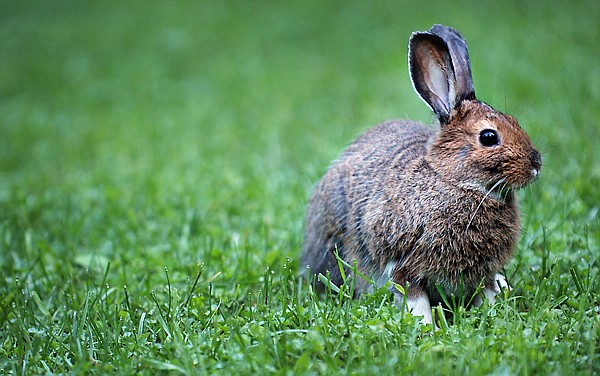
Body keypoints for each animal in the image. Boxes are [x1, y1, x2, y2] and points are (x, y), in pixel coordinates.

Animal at [302, 23, 540, 324]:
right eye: (488, 137)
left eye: (515, 121)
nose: (536, 164)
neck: (454, 181)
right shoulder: (402, 262)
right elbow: (415, 299)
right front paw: (428, 327)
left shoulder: (483, 270)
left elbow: (486, 291)